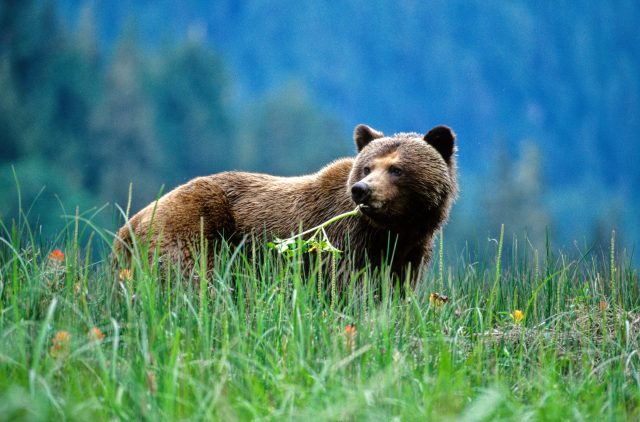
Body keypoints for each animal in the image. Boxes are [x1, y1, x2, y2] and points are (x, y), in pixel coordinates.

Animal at [114, 124, 458, 289]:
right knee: (192, 280)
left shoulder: (408, 253)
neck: (392, 229)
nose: (362, 190)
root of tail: (129, 225)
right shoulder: (343, 241)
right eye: (367, 167)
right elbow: (347, 288)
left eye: (396, 169)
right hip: (194, 228)